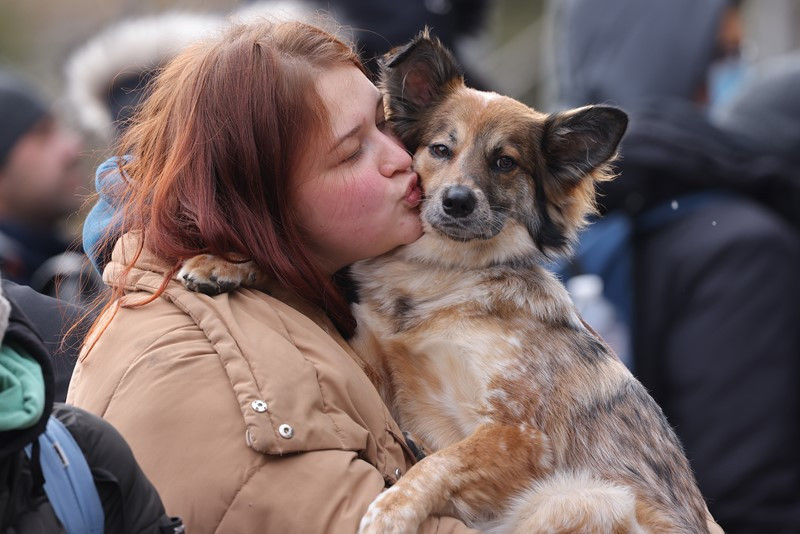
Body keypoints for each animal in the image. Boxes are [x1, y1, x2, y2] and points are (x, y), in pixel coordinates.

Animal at [180, 33, 712, 534]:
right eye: (440, 149)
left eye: (505, 162)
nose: (457, 201)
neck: (442, 280)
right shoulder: (378, 368)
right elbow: (298, 288)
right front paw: (224, 264)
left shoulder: (517, 431)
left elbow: (442, 464)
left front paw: (389, 511)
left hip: (582, 499)